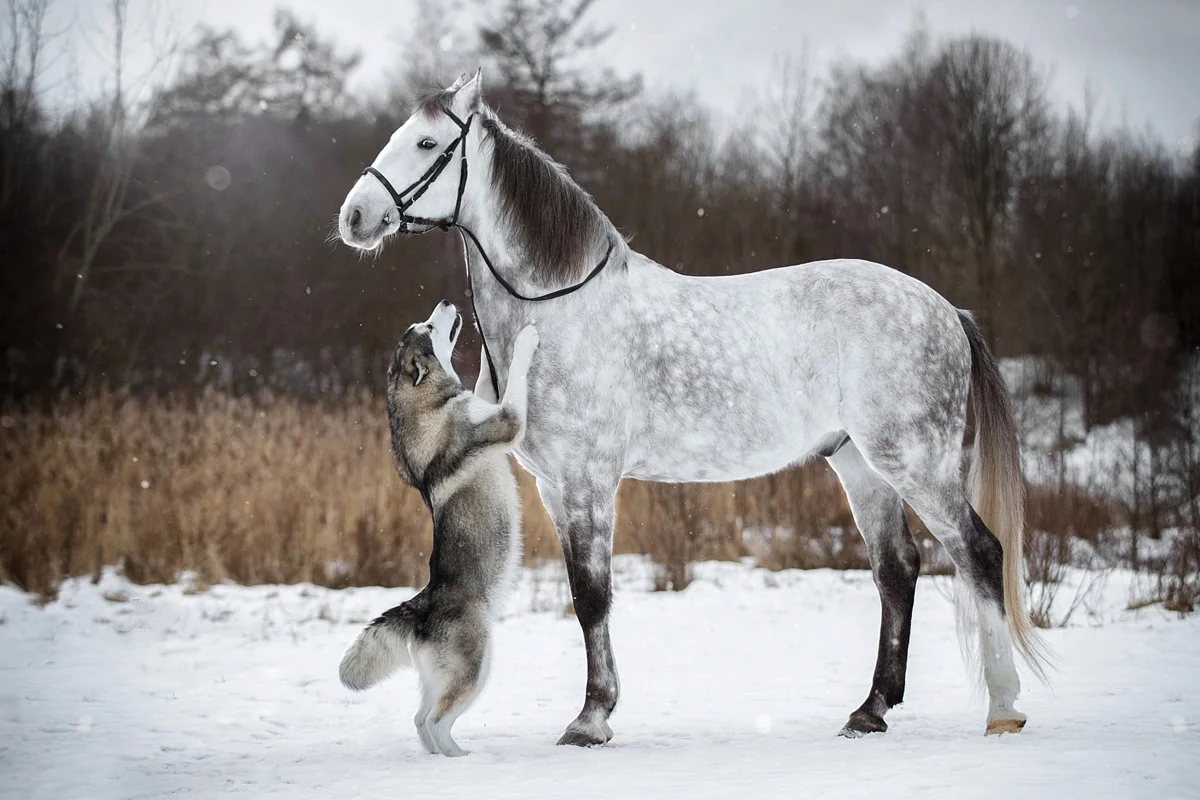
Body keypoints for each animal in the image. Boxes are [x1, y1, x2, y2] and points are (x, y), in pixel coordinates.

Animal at [336, 69, 1050, 746]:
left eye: (427, 142)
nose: (355, 216)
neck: (561, 310)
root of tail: (947, 310)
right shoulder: (554, 488)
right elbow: (582, 596)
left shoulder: (590, 482)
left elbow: (592, 596)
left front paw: (591, 719)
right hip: (861, 466)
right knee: (896, 570)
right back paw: (870, 711)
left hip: (916, 463)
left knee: (980, 554)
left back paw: (1005, 710)